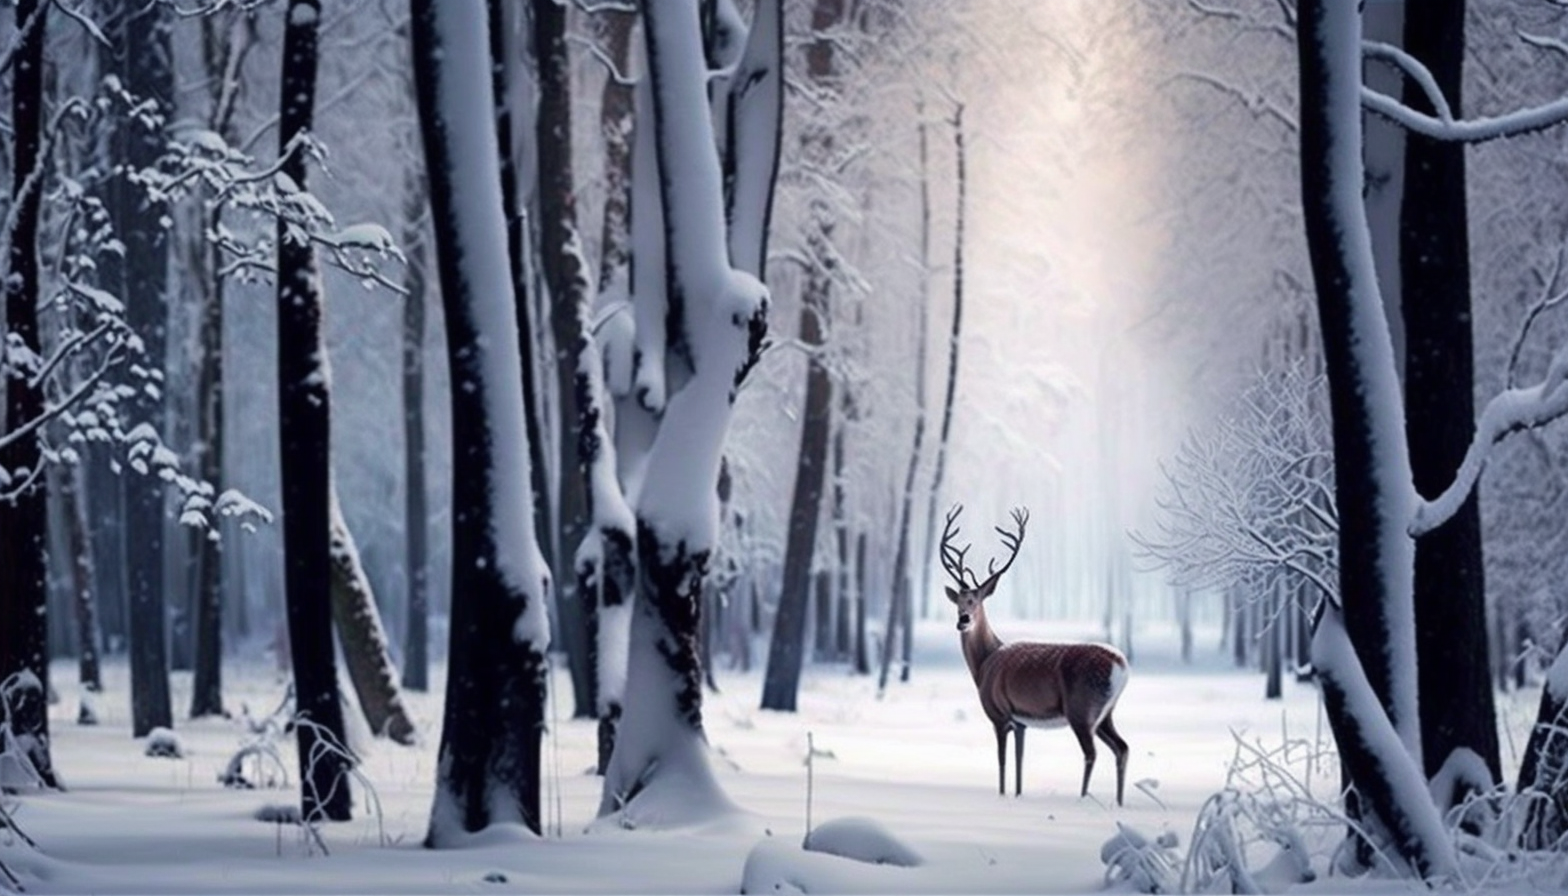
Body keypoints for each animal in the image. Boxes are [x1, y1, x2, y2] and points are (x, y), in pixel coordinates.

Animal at [940, 505, 1128, 803]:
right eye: (958, 601)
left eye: (976, 601)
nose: (964, 620)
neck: (984, 665)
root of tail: (1121, 665)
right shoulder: (1021, 722)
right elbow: (1020, 761)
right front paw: (1017, 795)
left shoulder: (999, 714)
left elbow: (1002, 761)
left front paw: (1003, 796)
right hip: (1106, 712)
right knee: (1122, 748)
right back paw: (1119, 803)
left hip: (1081, 709)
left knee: (1091, 753)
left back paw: (1083, 798)